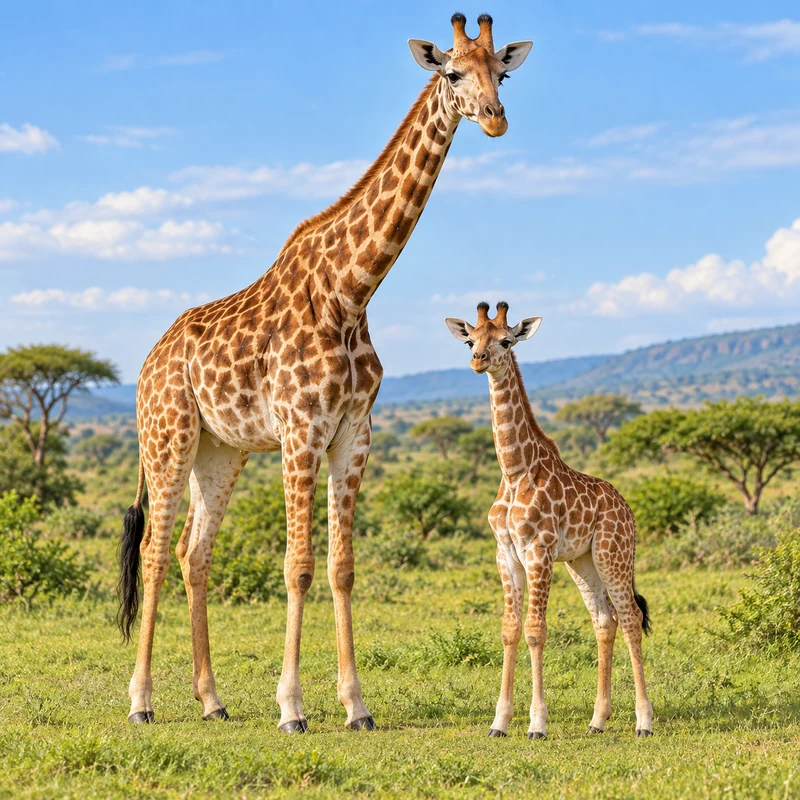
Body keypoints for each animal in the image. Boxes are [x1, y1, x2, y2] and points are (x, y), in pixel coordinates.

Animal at [116, 15, 533, 731]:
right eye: (453, 72)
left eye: (501, 74)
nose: (495, 119)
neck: (351, 291)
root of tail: (148, 362)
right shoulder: (301, 431)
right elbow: (299, 566)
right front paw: (292, 707)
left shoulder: (353, 435)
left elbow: (341, 568)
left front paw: (356, 706)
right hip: (167, 438)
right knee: (154, 553)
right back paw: (141, 701)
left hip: (219, 451)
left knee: (194, 554)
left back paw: (212, 700)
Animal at [444, 302, 653, 739]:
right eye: (472, 341)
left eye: (507, 341)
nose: (479, 360)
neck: (513, 471)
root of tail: (626, 508)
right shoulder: (505, 554)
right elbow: (509, 629)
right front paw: (499, 722)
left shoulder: (538, 550)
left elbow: (535, 631)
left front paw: (537, 723)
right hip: (582, 562)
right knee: (604, 621)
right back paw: (597, 720)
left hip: (613, 554)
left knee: (630, 618)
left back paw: (644, 721)